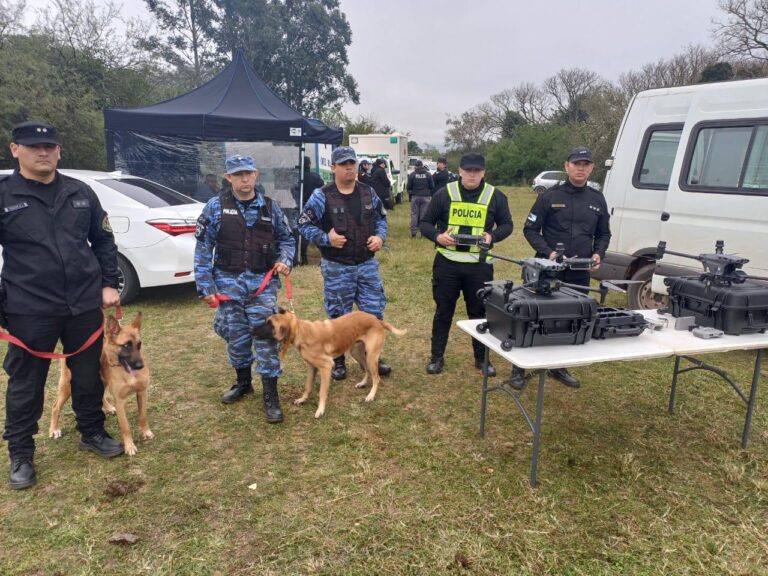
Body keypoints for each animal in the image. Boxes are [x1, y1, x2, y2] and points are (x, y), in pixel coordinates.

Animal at [49, 312, 153, 456]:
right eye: (126, 345)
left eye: (139, 344)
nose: (140, 366)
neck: (125, 370)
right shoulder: (119, 401)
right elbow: (125, 426)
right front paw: (129, 446)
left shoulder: (142, 392)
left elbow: (143, 416)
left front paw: (146, 432)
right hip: (67, 386)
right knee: (55, 407)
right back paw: (54, 429)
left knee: (101, 396)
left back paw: (108, 408)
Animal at [254, 310, 408, 418]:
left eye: (270, 324)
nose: (251, 329)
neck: (301, 330)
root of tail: (377, 320)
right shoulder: (311, 366)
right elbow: (307, 386)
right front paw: (303, 399)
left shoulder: (326, 367)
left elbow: (322, 392)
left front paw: (320, 410)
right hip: (357, 353)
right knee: (367, 370)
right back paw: (363, 383)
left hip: (371, 356)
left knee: (377, 377)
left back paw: (371, 395)